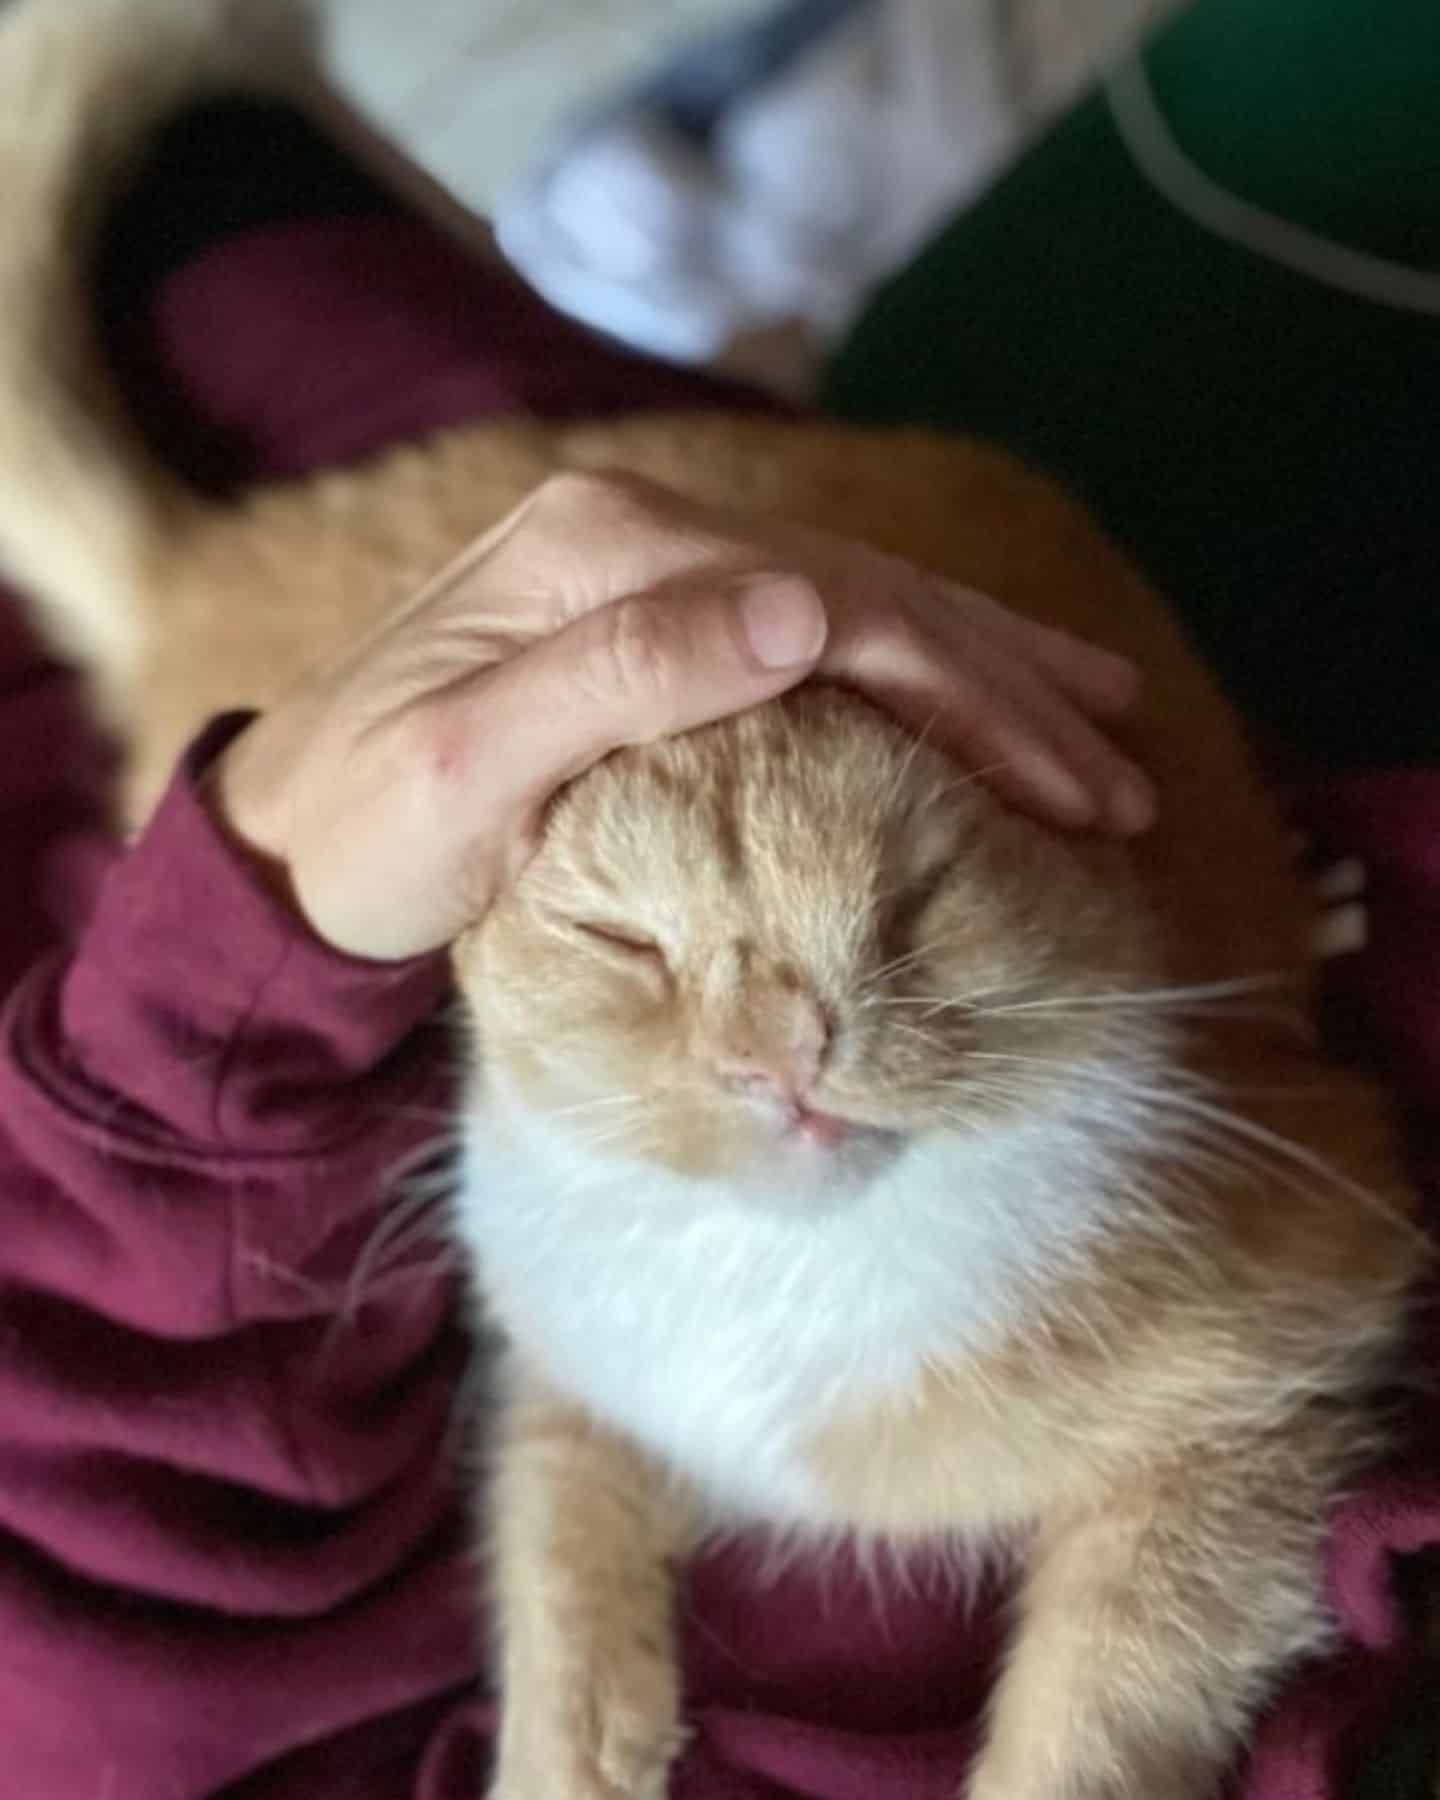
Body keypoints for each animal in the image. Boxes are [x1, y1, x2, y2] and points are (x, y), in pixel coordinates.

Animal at [0, 3, 1418, 1800]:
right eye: (625, 942)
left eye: (912, 903)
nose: (782, 1051)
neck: (768, 1300)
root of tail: (226, 567)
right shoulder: (556, 1373)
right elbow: (554, 1545)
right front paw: (575, 1748)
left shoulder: (1266, 1391)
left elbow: (1094, 1717)